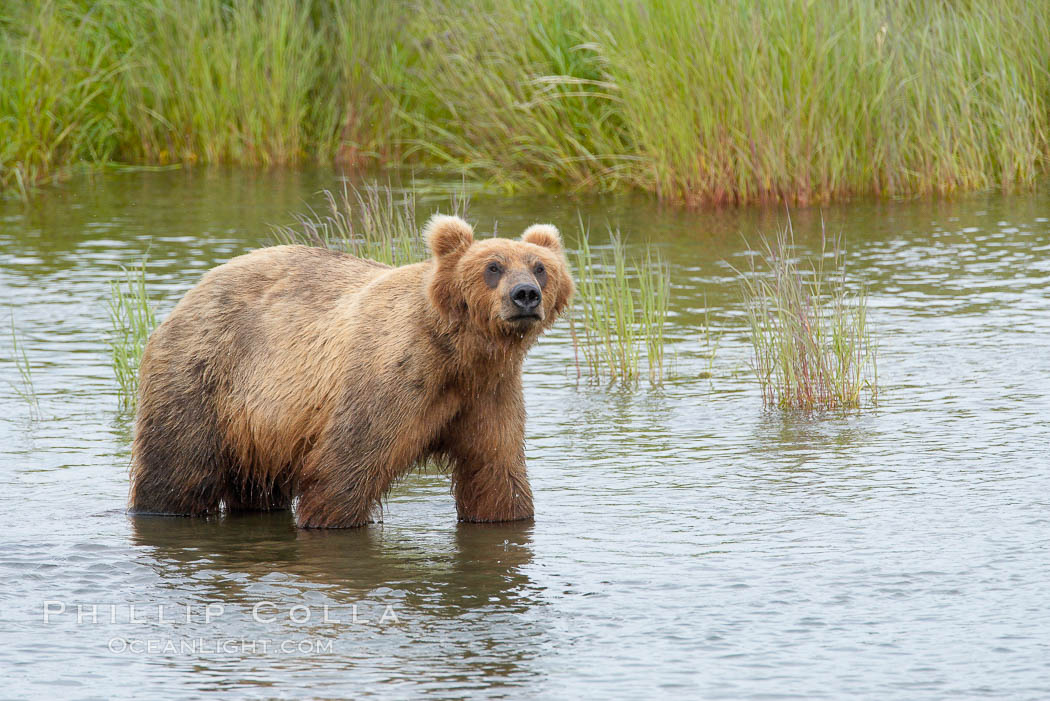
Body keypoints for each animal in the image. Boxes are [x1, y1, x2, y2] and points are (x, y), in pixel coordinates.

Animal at [130, 216, 575, 528]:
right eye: (493, 267)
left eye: (540, 267)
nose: (525, 295)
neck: (459, 353)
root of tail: (190, 294)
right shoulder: (391, 380)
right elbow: (345, 466)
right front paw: (328, 518)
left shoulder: (490, 392)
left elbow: (496, 473)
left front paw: (506, 511)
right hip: (204, 376)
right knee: (178, 469)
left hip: (258, 427)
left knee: (256, 485)